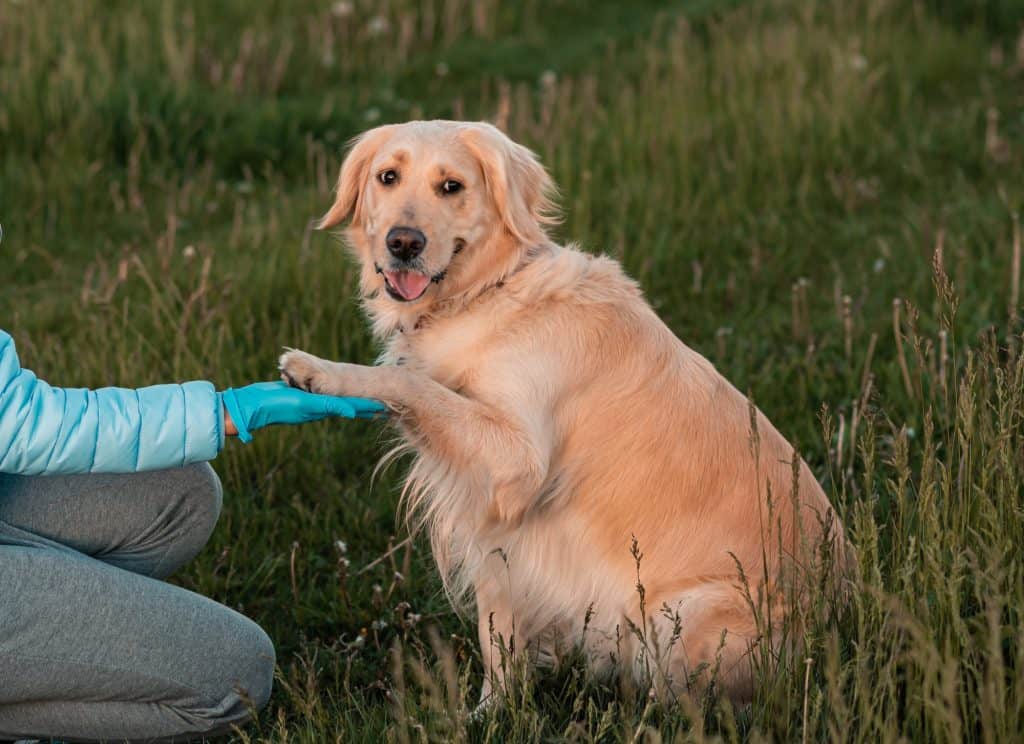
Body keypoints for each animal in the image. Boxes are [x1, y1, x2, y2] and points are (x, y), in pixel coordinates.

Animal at [280, 120, 847, 704]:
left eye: (451, 186)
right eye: (387, 177)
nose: (403, 243)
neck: (486, 293)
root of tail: (836, 621)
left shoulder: (517, 462)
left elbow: (410, 381)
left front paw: (319, 370)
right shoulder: (496, 525)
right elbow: (498, 634)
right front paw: (493, 710)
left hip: (679, 617)